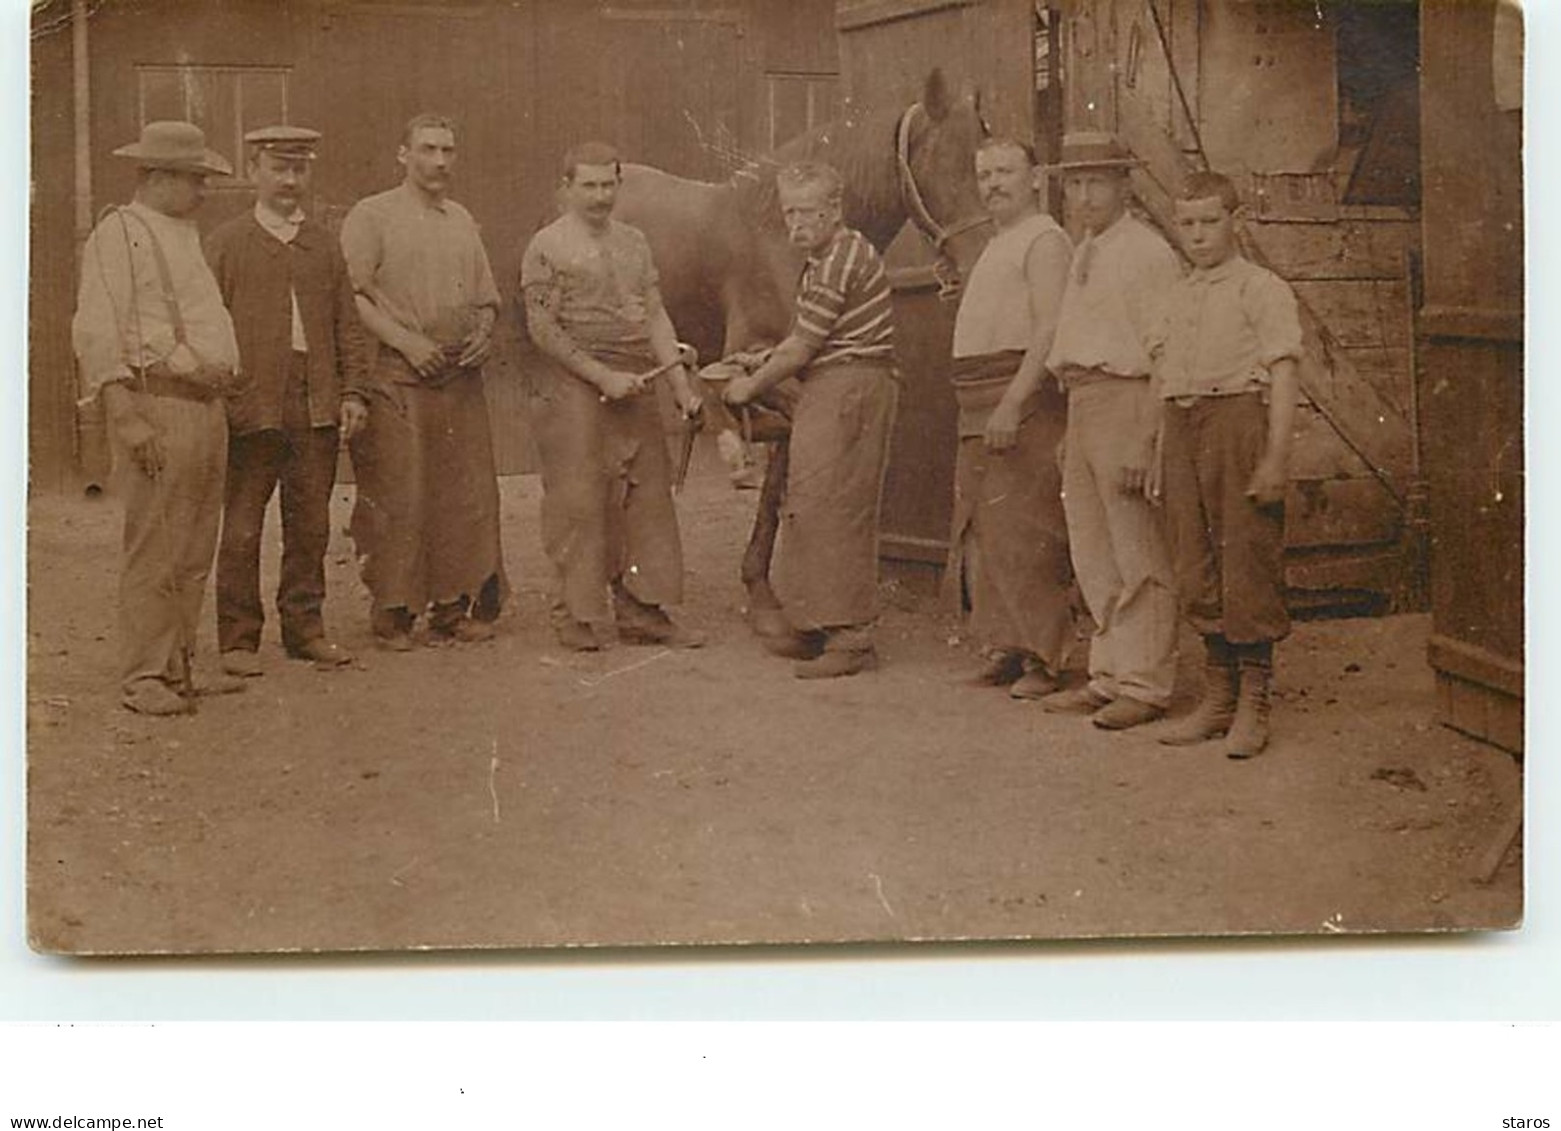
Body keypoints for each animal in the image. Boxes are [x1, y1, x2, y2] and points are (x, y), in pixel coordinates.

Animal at [605, 70, 986, 636]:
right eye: (945, 164)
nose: (982, 257)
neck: (781, 236)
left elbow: (782, 468)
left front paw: (762, 593)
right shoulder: (751, 353)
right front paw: (733, 448)